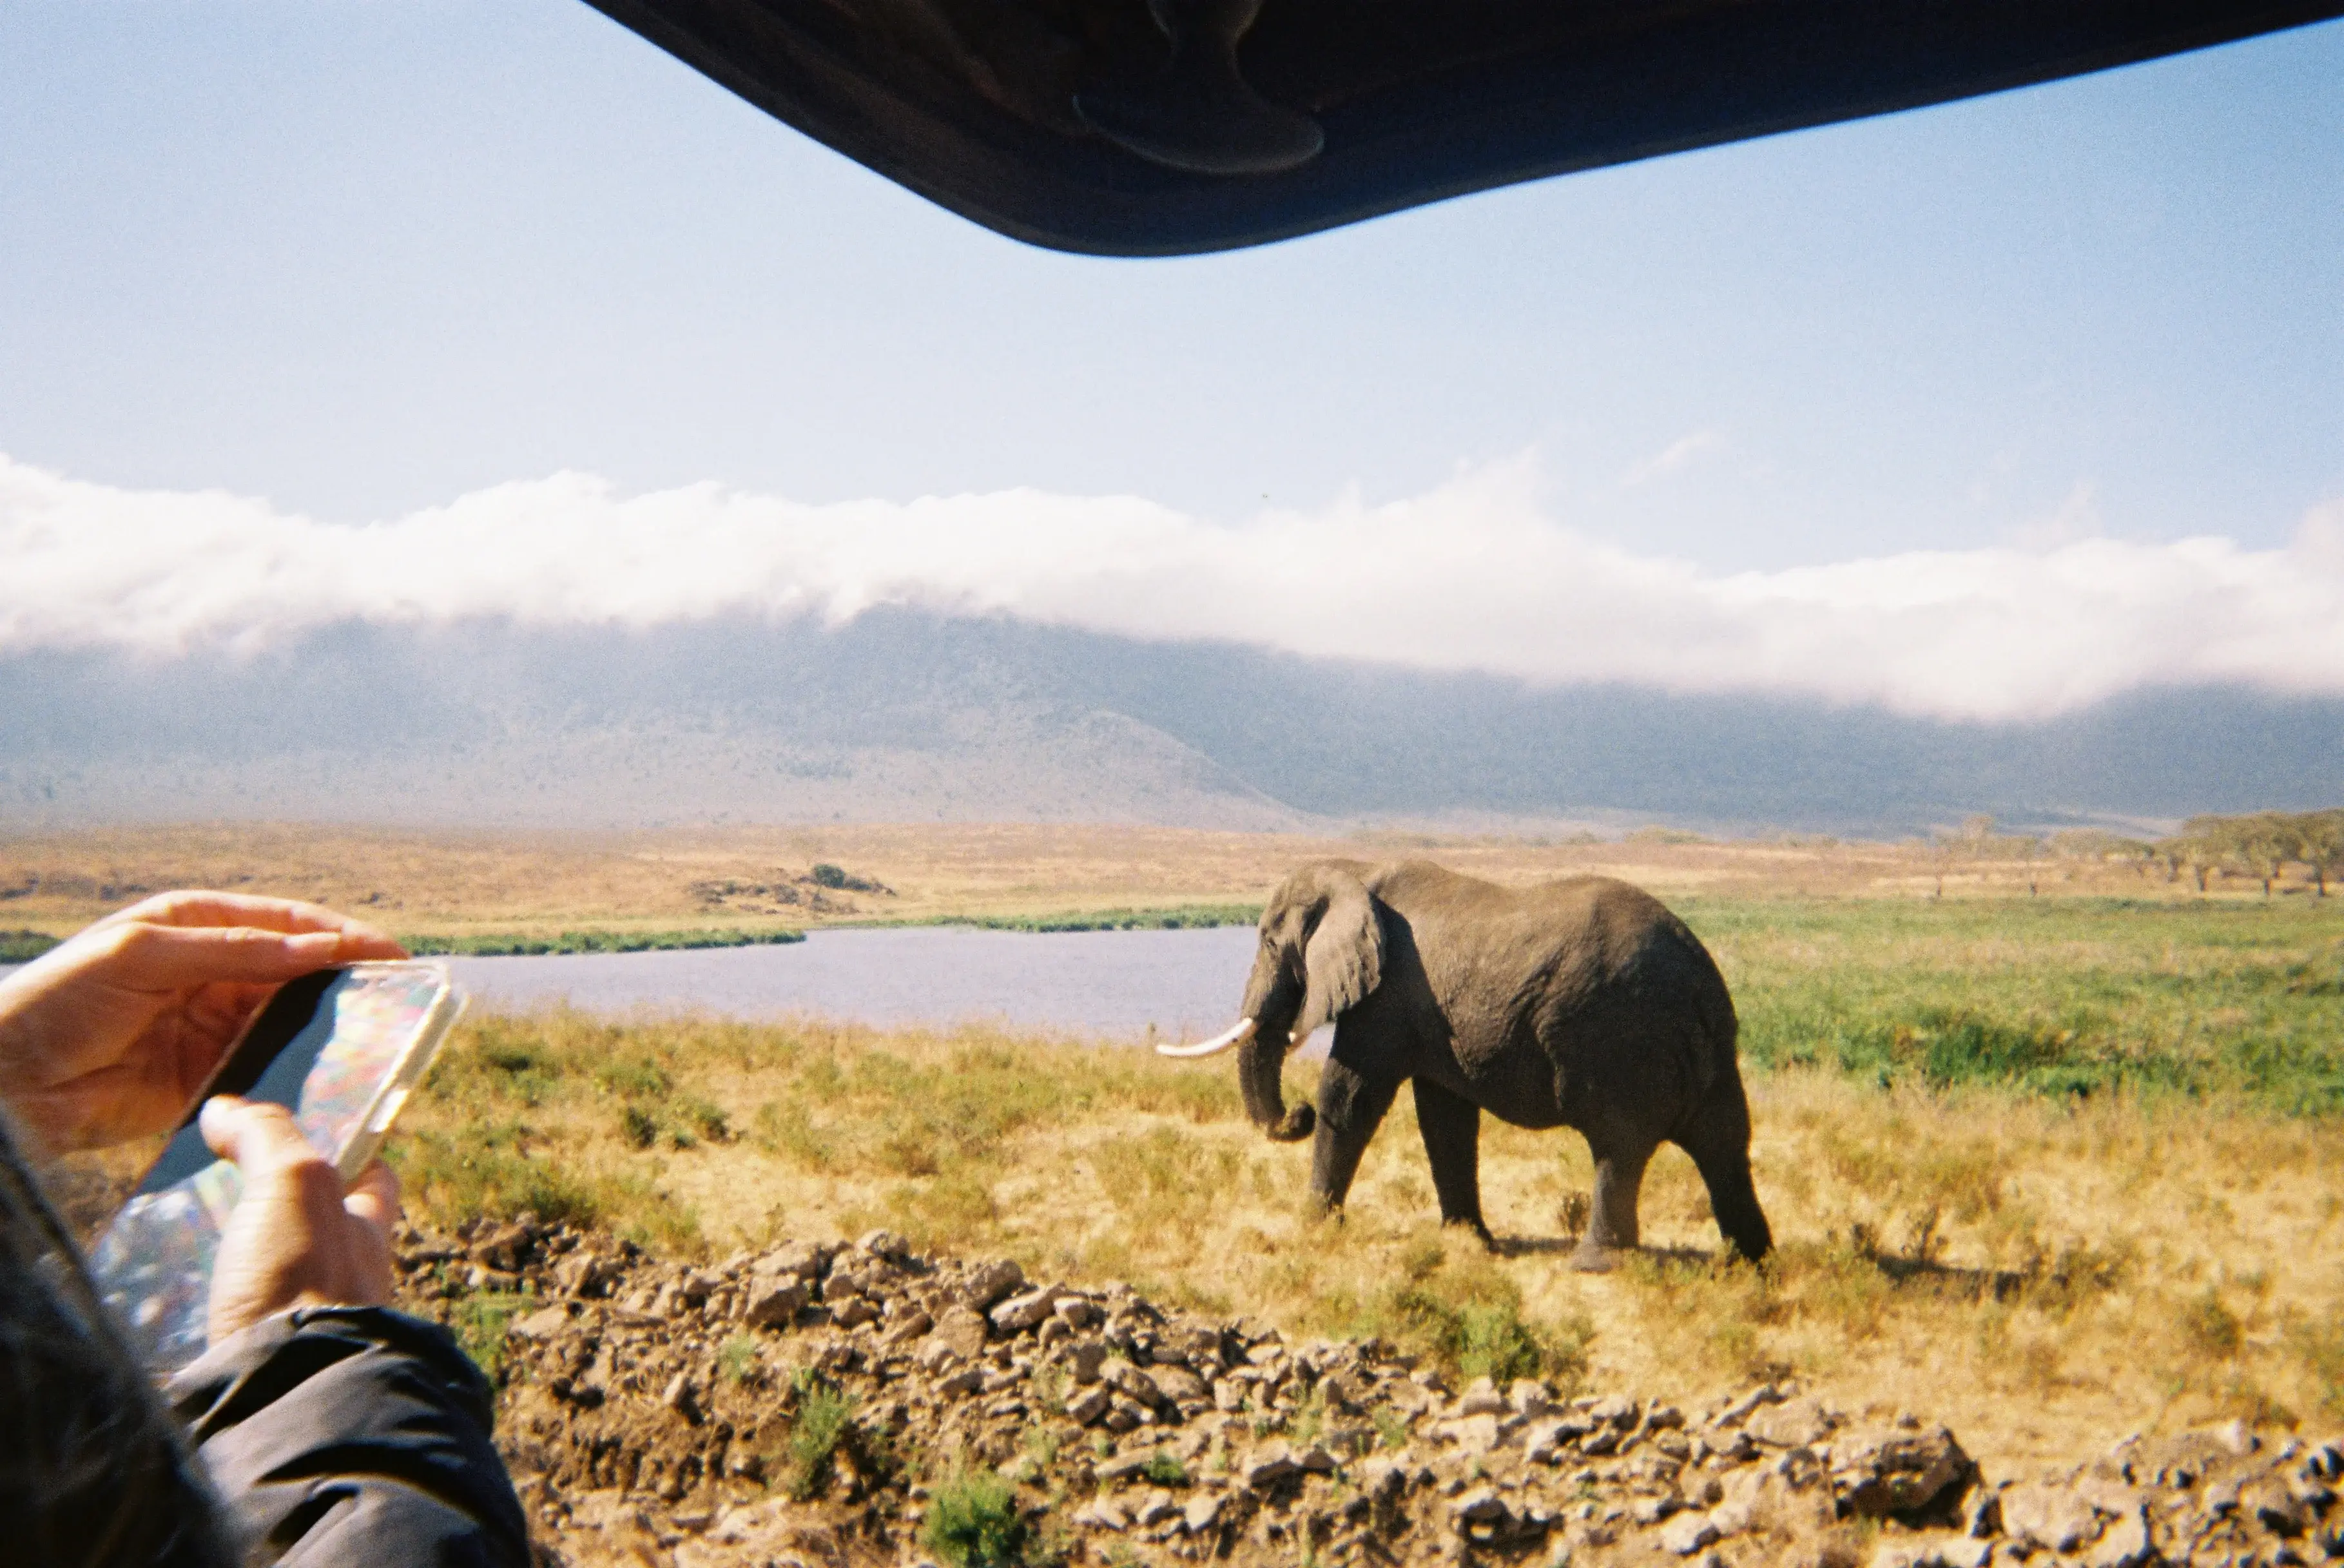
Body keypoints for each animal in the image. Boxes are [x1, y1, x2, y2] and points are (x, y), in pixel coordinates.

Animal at [1159, 859, 1771, 1269]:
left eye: (1267, 941)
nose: (1296, 1116)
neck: (1354, 872)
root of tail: (1697, 976)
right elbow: (1444, 1117)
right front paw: (1469, 1241)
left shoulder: (1388, 996)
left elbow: (1351, 1093)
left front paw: (1312, 1224)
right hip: (1712, 1050)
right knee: (1724, 1146)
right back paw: (1753, 1264)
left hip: (1618, 1037)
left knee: (1617, 1147)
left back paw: (1593, 1265)